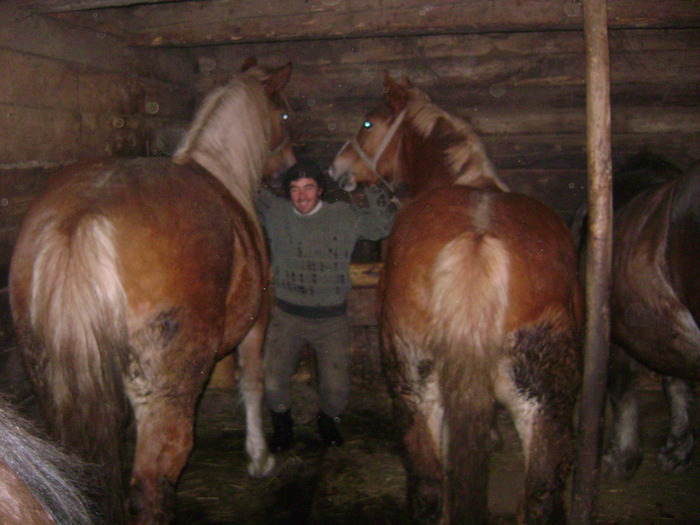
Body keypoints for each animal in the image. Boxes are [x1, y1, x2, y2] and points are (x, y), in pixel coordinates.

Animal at [9, 59, 296, 520]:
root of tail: (83, 217)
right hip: (167, 392)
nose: (290, 173)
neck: (222, 171)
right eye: (284, 114)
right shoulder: (257, 324)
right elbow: (252, 384)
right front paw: (260, 457)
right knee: (153, 482)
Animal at [330, 75, 584, 520]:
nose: (336, 167)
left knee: (431, 484)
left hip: (418, 391)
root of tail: (477, 243)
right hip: (541, 402)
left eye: (367, 123)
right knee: (537, 492)